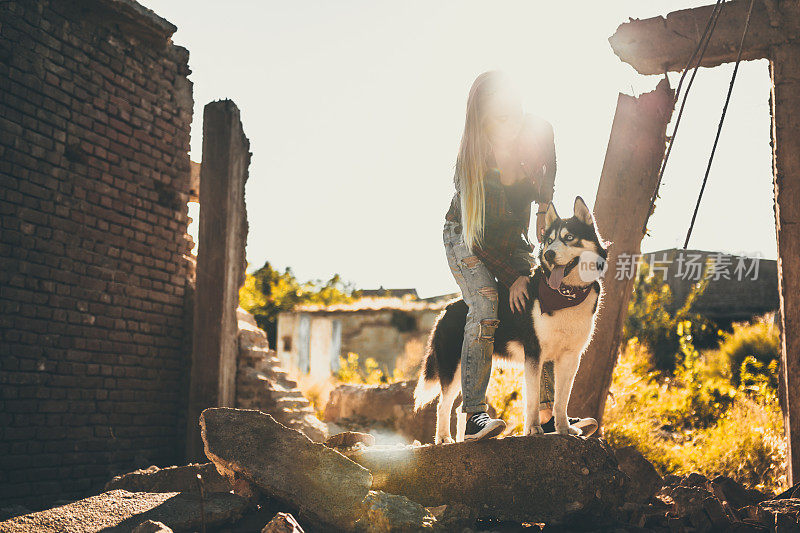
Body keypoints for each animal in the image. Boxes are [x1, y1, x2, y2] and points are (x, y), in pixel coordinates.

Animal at [416, 197, 608, 442]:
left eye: (569, 237)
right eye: (550, 240)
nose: (548, 254)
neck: (566, 294)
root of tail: (446, 308)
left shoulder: (570, 356)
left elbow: (561, 400)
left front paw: (564, 428)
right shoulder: (534, 353)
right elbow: (533, 398)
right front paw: (533, 429)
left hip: (477, 366)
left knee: (460, 409)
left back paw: (467, 436)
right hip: (456, 365)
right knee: (444, 405)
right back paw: (444, 439)